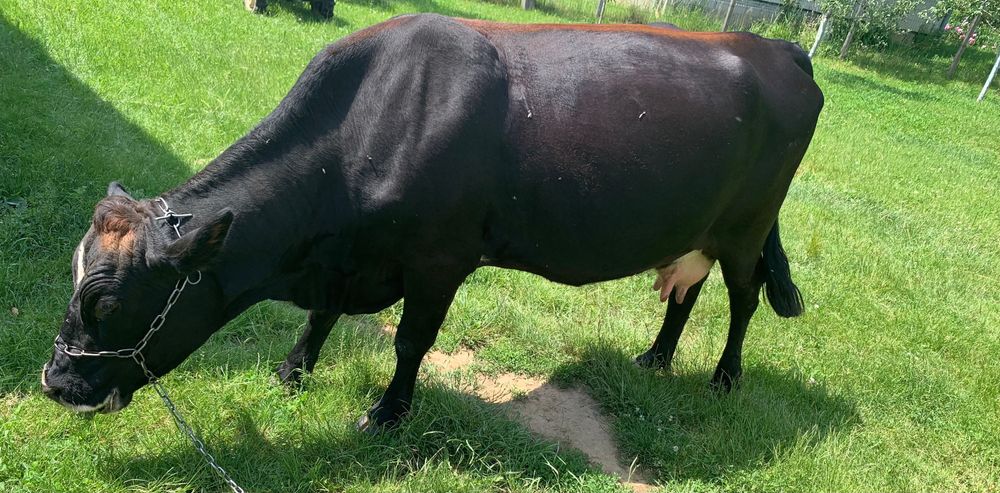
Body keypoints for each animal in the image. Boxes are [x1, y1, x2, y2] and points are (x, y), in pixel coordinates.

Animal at [41, 14, 823, 431]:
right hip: (698, 228)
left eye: (106, 302)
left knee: (743, 298)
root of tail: (773, 45)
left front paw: (387, 413)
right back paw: (656, 357)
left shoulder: (439, 260)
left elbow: (411, 340)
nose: (55, 383)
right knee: (686, 290)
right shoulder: (346, 260)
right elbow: (321, 316)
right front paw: (292, 370)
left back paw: (724, 378)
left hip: (748, 226)